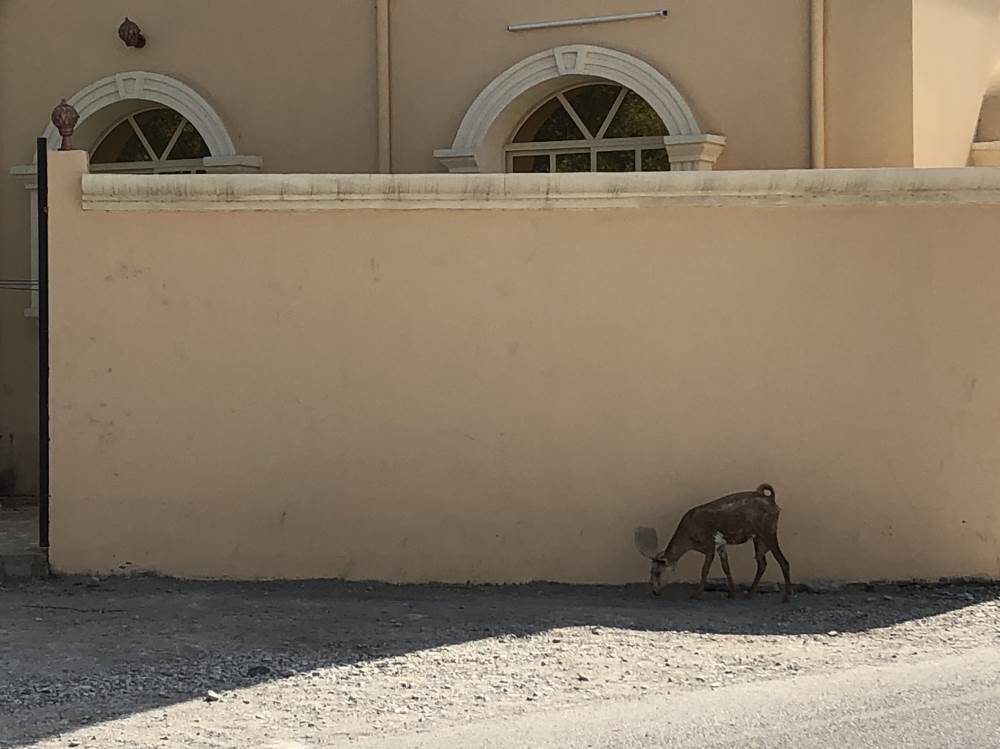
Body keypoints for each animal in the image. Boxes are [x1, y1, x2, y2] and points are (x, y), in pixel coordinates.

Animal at [636, 486, 792, 600]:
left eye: (657, 572)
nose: (655, 591)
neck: (689, 539)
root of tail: (772, 501)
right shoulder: (720, 544)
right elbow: (726, 567)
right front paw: (732, 593)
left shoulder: (709, 544)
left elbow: (705, 569)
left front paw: (696, 594)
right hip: (758, 537)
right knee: (762, 562)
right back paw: (749, 594)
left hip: (768, 531)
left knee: (782, 561)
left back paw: (787, 596)